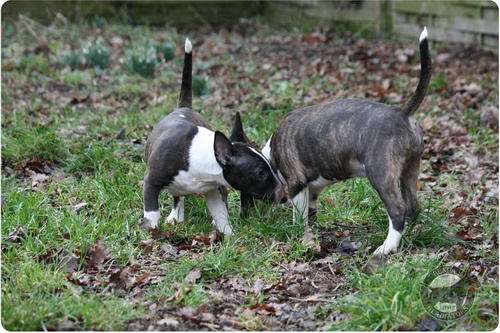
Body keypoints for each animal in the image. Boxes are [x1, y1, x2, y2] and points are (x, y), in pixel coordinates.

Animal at [145, 37, 286, 235]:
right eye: (260, 172)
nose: (284, 196)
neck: (199, 156)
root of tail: (184, 108)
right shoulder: (150, 182)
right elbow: (152, 213)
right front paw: (150, 234)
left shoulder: (214, 190)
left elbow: (221, 216)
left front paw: (229, 237)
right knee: (177, 197)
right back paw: (176, 217)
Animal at [260, 27, 432, 253]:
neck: (269, 156)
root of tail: (402, 111)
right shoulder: (312, 189)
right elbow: (310, 212)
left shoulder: (297, 183)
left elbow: (299, 216)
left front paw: (297, 234)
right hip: (410, 170)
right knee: (413, 206)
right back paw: (408, 236)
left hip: (380, 173)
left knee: (398, 209)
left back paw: (386, 248)